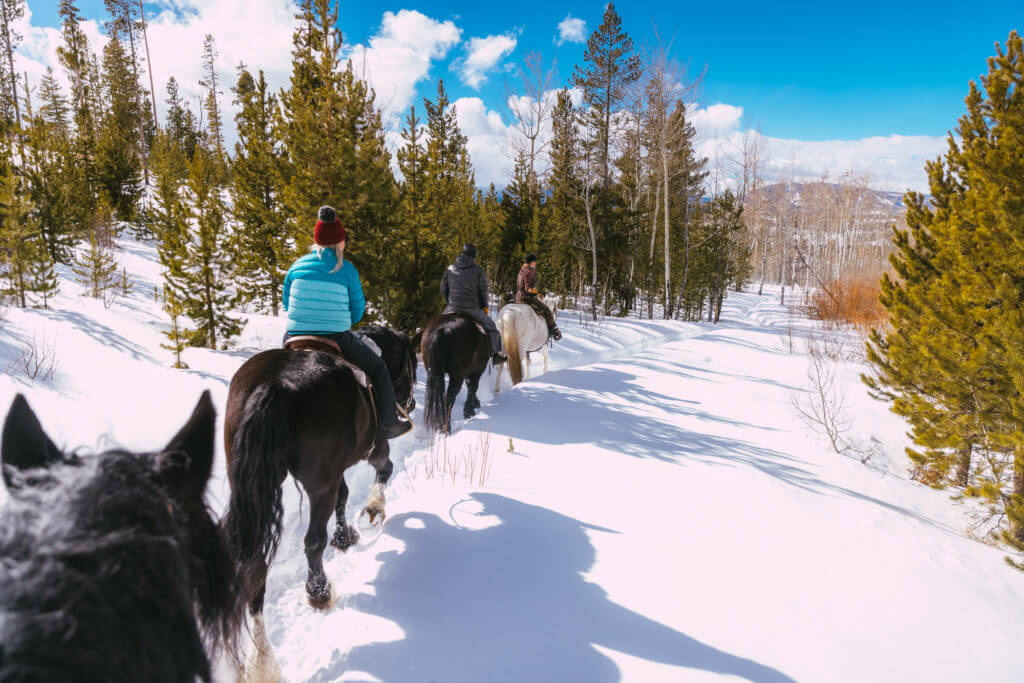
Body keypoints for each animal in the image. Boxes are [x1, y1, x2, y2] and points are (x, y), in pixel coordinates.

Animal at [223, 327, 415, 679]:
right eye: (411, 363)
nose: (409, 401)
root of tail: (275, 386)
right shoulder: (373, 448)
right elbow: (384, 470)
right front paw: (373, 510)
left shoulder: (337, 470)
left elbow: (344, 496)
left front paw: (345, 536)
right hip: (319, 483)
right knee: (312, 541)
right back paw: (319, 593)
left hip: (249, 482)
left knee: (253, 567)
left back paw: (259, 660)